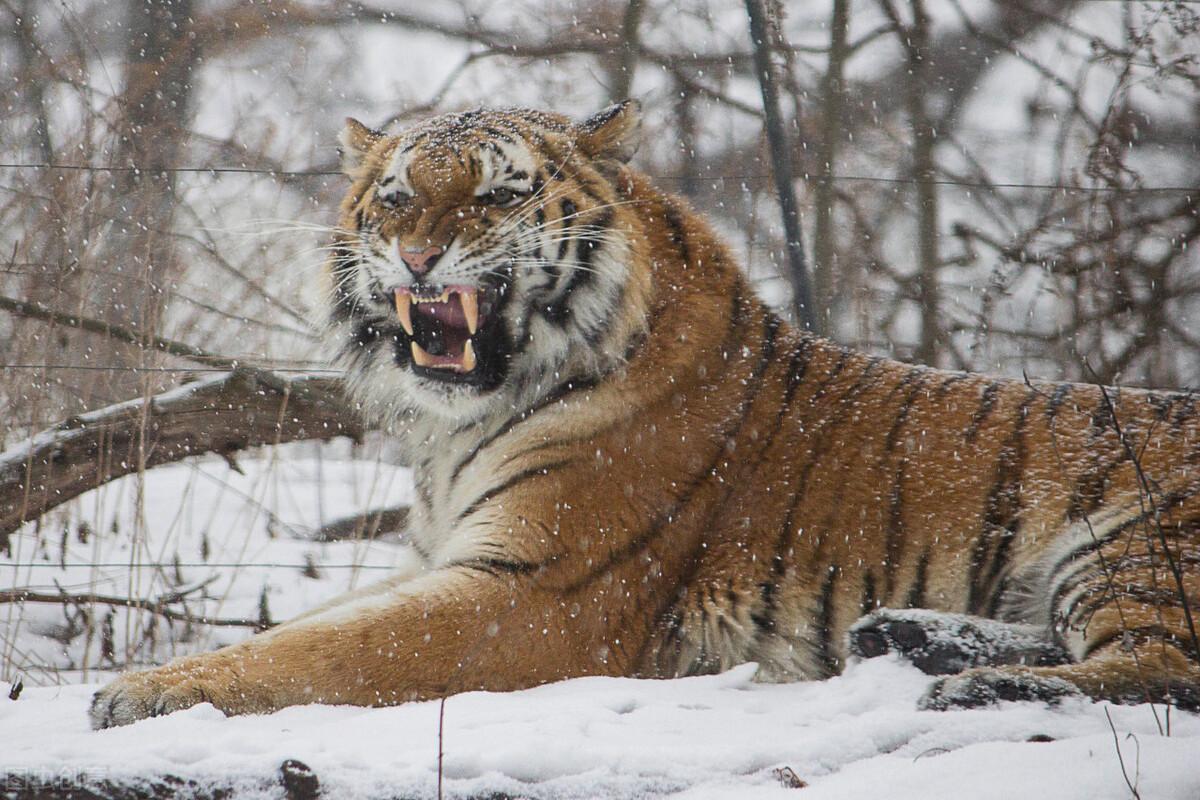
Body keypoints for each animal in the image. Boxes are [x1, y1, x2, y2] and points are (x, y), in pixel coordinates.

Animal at [91, 103, 1200, 729]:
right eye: (398, 197)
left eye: (495, 197)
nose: (417, 255)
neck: (458, 424)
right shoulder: (445, 557)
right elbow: (315, 625)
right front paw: (142, 675)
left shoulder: (536, 590)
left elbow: (330, 650)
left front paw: (145, 693)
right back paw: (910, 634)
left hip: (1136, 543)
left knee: (1160, 667)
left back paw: (971, 689)